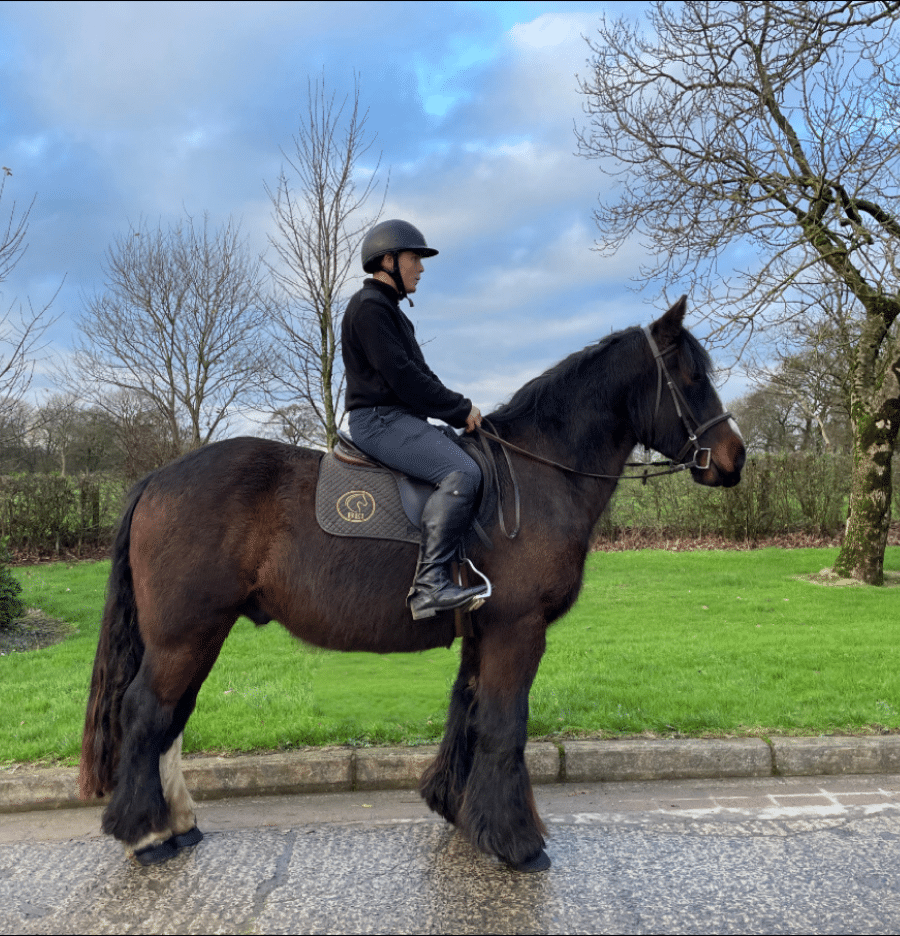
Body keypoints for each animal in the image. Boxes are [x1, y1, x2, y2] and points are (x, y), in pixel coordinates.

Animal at [79, 296, 745, 871]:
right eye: (689, 375)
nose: (735, 458)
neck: (537, 475)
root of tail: (159, 479)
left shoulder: (485, 630)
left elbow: (468, 710)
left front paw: (460, 812)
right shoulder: (518, 629)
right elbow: (505, 724)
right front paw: (517, 843)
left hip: (197, 634)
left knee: (171, 717)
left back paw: (176, 823)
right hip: (186, 633)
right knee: (147, 711)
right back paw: (145, 833)